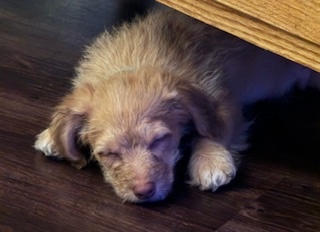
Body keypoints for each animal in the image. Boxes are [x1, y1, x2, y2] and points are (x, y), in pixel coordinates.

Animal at [33, 8, 318, 202]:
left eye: (159, 140)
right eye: (108, 154)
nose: (144, 192)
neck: (135, 61)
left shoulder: (223, 100)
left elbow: (211, 130)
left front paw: (209, 161)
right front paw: (51, 135)